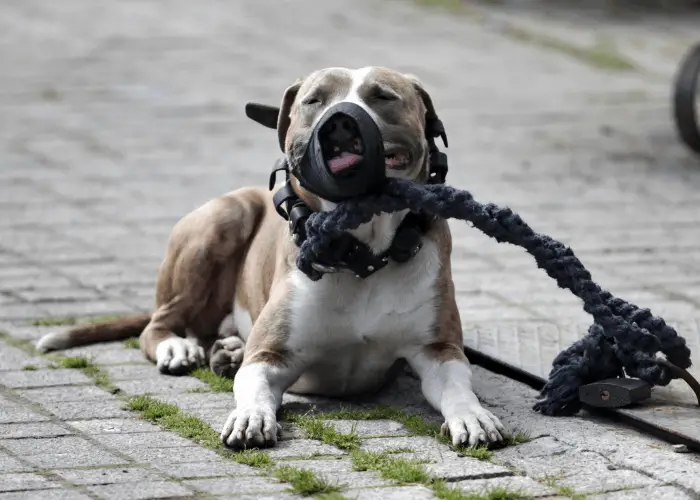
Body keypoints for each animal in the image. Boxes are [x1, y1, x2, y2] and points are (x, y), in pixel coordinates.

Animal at [38, 66, 506, 450]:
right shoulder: (270, 356)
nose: (340, 121)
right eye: (314, 100)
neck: (363, 256)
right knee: (158, 324)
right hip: (224, 219)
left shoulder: (438, 350)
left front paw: (473, 417)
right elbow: (256, 387)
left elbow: (458, 387)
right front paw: (250, 417)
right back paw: (180, 348)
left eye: (383, 96)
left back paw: (225, 351)